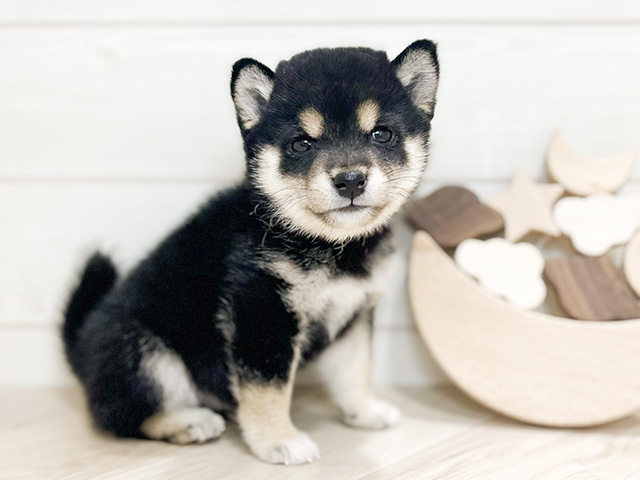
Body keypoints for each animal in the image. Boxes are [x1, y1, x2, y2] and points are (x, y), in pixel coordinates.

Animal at [62, 40, 438, 464]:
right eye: (302, 143)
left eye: (381, 134)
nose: (350, 180)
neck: (328, 246)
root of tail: (80, 354)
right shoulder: (262, 311)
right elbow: (268, 390)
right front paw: (279, 440)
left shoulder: (354, 313)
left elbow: (355, 371)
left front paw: (364, 411)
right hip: (142, 352)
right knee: (122, 416)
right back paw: (189, 421)